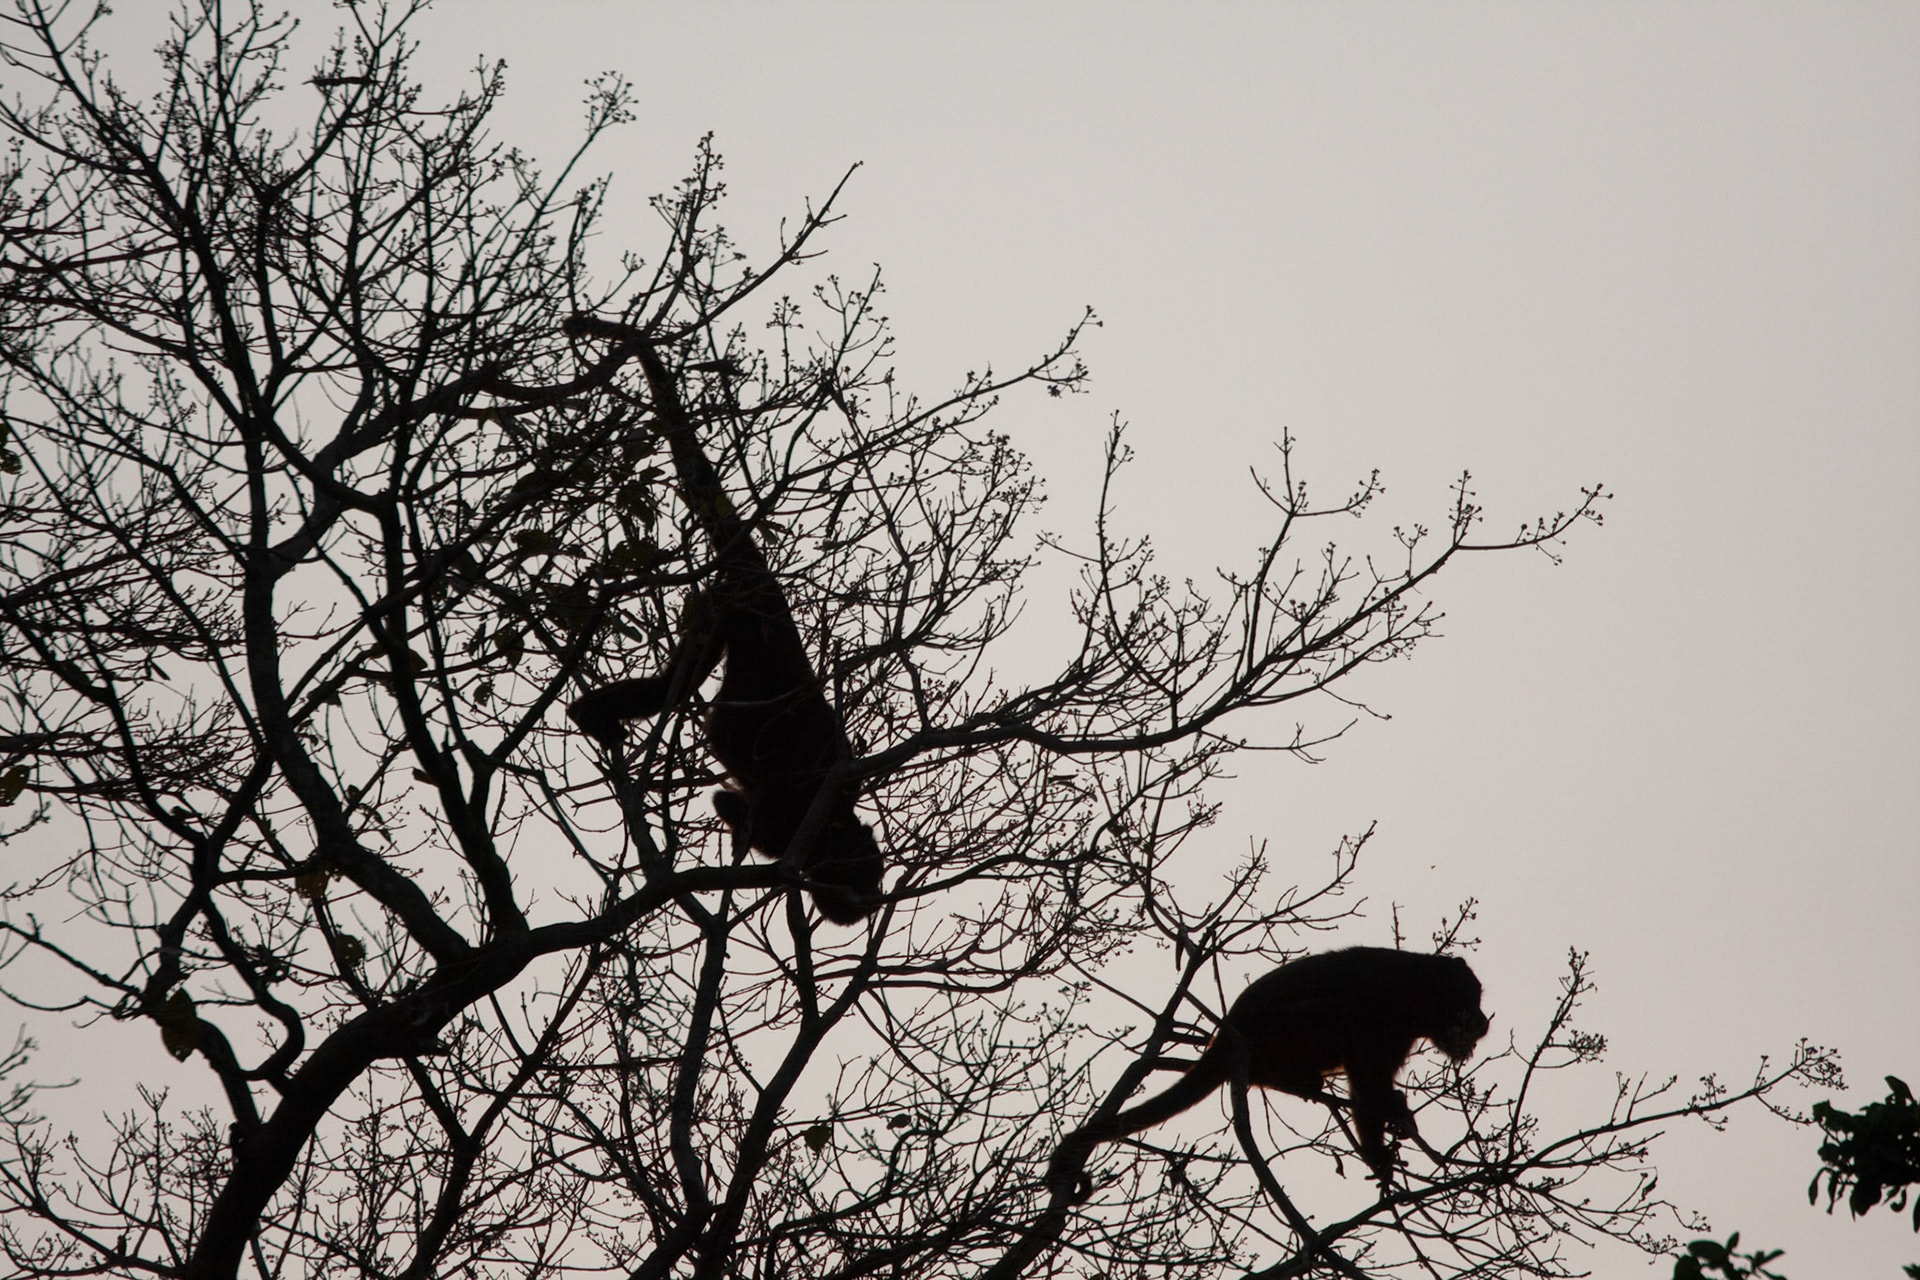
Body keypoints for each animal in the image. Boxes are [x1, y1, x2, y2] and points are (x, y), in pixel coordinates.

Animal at [1051, 947, 1488, 1193]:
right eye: (1472, 1001)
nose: (1484, 1022)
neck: (1418, 997)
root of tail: (1226, 1037)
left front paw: (1390, 1119)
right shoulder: (1384, 998)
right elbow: (1358, 1046)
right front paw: (1382, 1138)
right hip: (1273, 1032)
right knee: (1335, 1009)